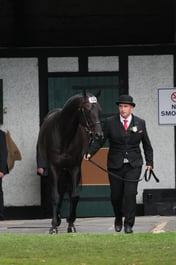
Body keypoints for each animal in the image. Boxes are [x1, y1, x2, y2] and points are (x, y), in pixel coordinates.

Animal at [37, 91, 102, 233]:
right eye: (87, 109)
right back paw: (57, 219)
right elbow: (55, 195)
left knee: (66, 190)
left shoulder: (74, 168)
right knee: (60, 192)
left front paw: (71, 225)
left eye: (99, 110)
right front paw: (53, 227)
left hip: (66, 171)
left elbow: (74, 195)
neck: (63, 135)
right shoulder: (54, 168)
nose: (99, 135)